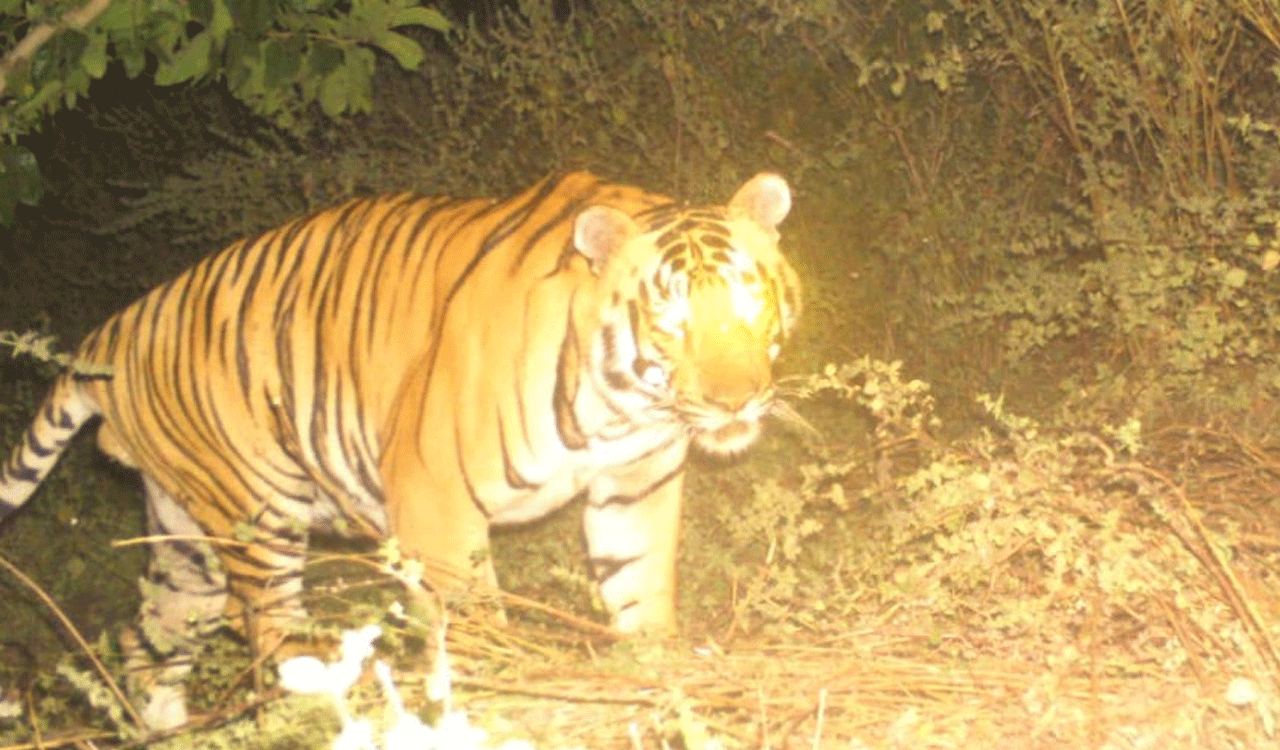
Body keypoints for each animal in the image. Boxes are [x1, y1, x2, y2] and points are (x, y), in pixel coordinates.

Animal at [0, 170, 800, 731]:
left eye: (751, 303)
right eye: (669, 323)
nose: (736, 402)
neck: (623, 407)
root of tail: (116, 327)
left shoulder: (635, 485)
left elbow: (640, 596)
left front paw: (654, 680)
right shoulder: (436, 502)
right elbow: (474, 631)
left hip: (184, 544)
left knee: (146, 645)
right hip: (259, 517)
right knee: (267, 633)